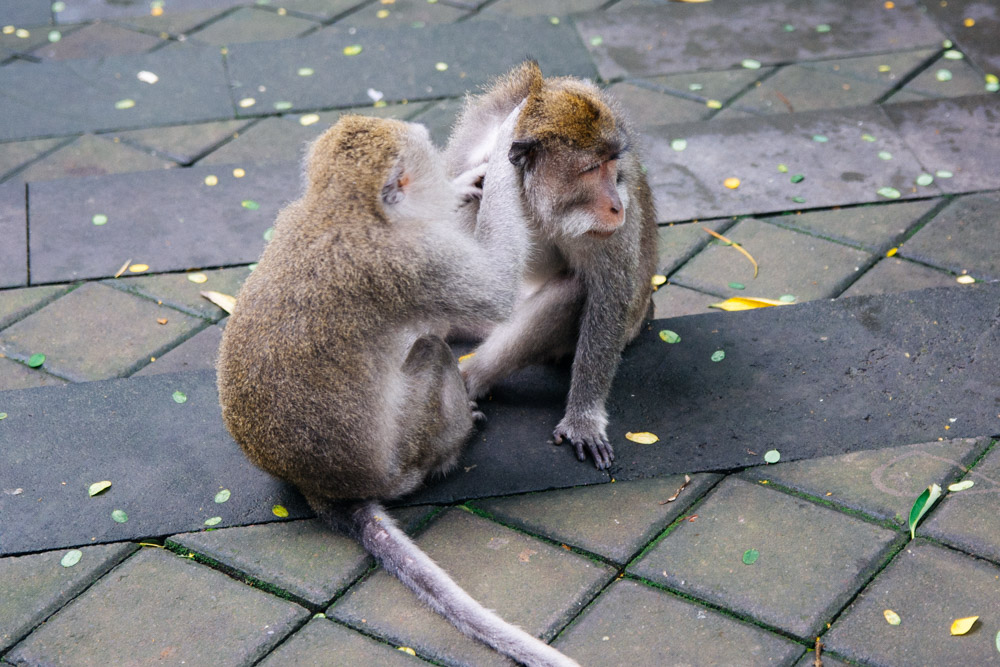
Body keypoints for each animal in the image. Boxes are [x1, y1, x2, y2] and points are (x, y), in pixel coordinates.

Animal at [217, 115, 578, 667]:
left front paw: (467, 181)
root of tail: (324, 490)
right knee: (431, 351)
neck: (340, 205)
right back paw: (452, 447)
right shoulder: (417, 261)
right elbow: (495, 290)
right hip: (401, 459)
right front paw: (504, 141)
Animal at [446, 61, 659, 471]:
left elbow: (607, 295)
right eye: (592, 168)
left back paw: (470, 378)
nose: (616, 205)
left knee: (573, 291)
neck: (532, 198)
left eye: (612, 164)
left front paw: (583, 418)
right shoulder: (470, 165)